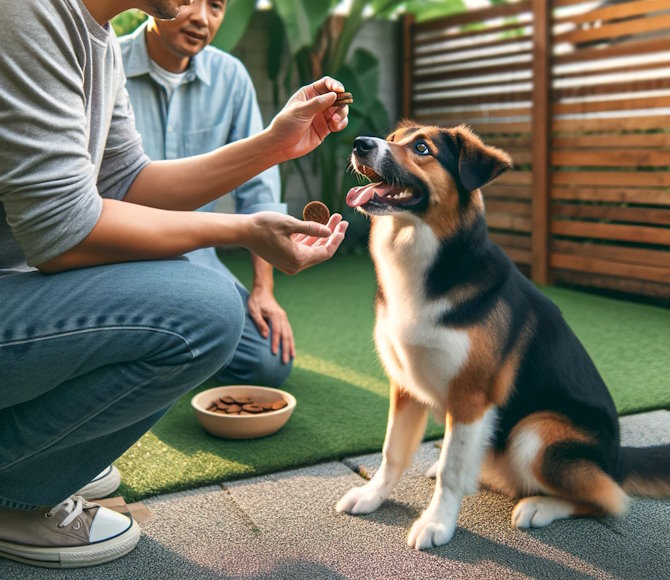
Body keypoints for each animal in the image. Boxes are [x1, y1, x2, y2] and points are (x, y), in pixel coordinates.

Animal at [336, 121, 670, 548]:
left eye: (422, 148)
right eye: (392, 139)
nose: (360, 143)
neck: (430, 263)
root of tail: (618, 458)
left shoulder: (471, 397)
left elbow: (451, 472)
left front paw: (437, 524)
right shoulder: (405, 386)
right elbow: (392, 451)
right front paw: (372, 495)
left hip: (534, 433)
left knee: (609, 498)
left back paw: (539, 506)